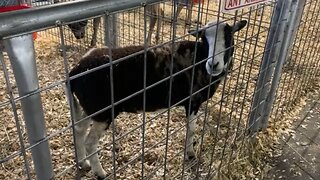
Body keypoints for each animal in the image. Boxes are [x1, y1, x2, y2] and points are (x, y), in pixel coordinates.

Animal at [68, 20, 248, 179]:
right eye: (204, 39)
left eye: (229, 38)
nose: (213, 64)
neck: (199, 58)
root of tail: (75, 70)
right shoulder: (193, 101)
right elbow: (191, 130)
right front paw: (190, 154)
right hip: (103, 112)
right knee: (90, 142)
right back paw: (100, 173)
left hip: (88, 108)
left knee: (79, 131)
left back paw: (83, 163)